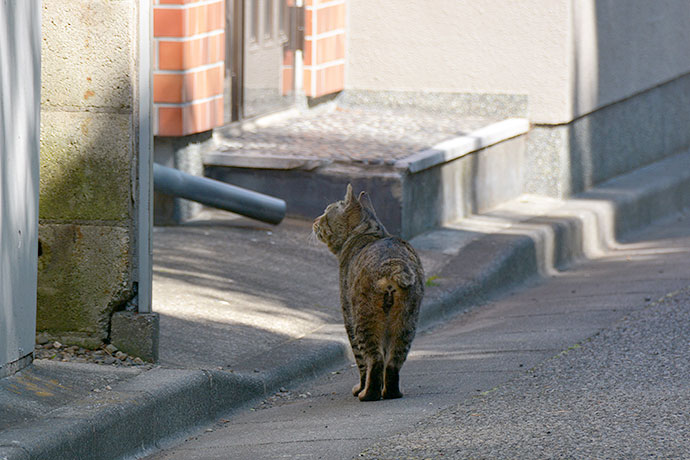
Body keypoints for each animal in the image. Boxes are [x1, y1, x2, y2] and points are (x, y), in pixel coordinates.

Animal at [314, 185, 422, 400]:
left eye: (325, 213)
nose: (314, 221)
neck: (372, 232)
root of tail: (393, 263)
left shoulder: (348, 316)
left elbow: (361, 363)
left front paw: (360, 388)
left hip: (364, 320)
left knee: (374, 360)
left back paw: (367, 394)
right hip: (406, 324)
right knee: (392, 363)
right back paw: (391, 393)